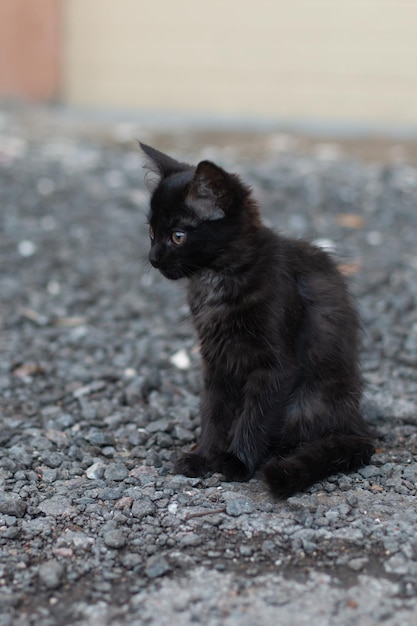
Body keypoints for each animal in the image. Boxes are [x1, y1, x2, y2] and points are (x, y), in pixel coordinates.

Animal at [141, 143, 374, 498]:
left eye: (178, 236)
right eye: (152, 232)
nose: (153, 259)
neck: (216, 279)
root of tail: (355, 420)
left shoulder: (276, 366)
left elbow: (256, 415)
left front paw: (236, 461)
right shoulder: (215, 359)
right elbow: (214, 411)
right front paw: (204, 456)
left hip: (309, 398)